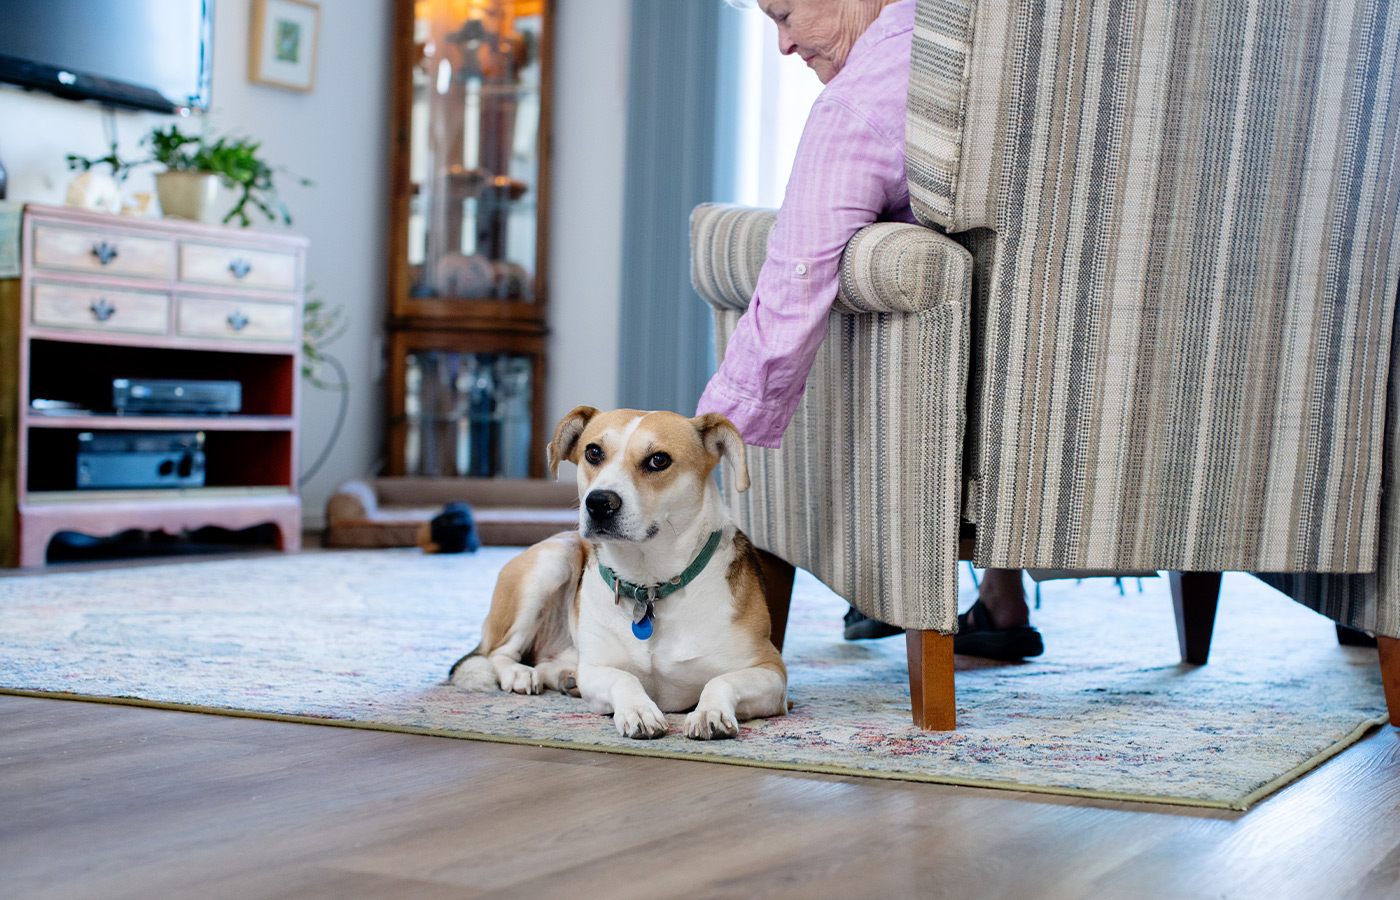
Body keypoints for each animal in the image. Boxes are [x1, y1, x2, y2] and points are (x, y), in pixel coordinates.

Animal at [445, 405, 784, 739]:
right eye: (593, 452)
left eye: (659, 460)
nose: (598, 503)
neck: (649, 584)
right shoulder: (596, 671)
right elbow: (625, 679)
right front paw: (639, 710)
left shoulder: (772, 672)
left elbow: (720, 680)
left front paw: (709, 712)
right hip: (553, 560)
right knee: (499, 652)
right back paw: (521, 674)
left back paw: (563, 677)